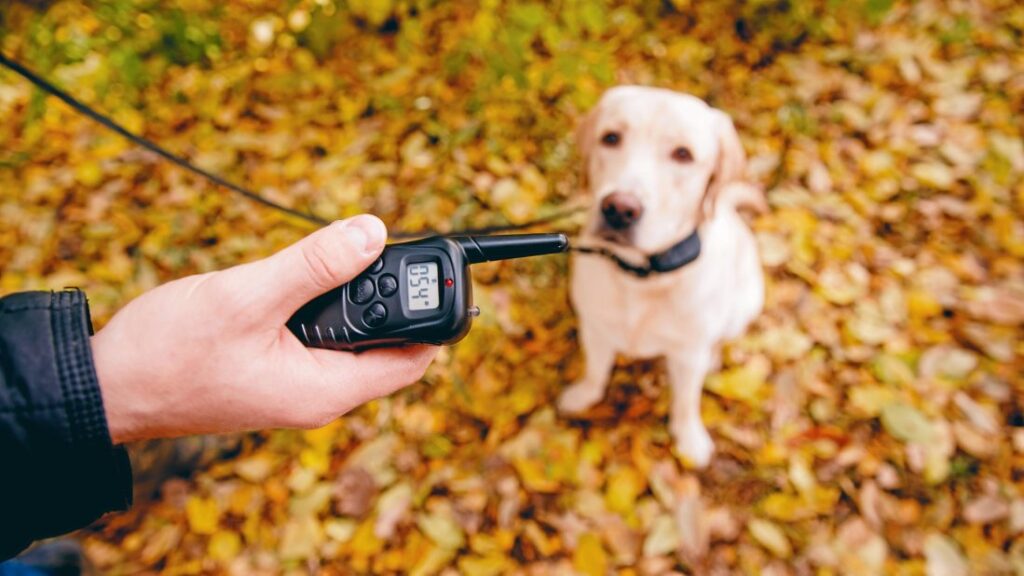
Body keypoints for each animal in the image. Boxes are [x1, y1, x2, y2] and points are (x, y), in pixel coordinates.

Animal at [561, 85, 770, 463]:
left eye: (683, 154)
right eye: (610, 137)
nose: (619, 209)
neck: (642, 276)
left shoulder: (687, 355)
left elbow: (686, 401)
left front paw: (690, 439)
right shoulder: (595, 330)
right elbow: (596, 371)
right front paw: (583, 395)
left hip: (745, 305)